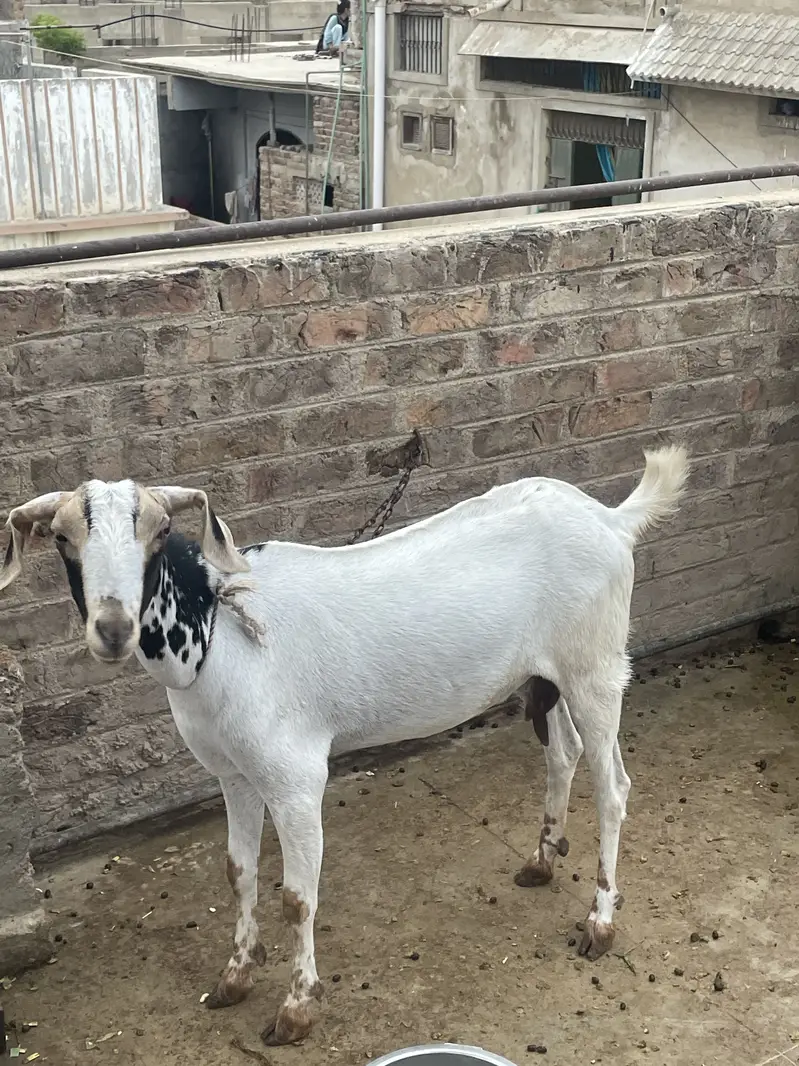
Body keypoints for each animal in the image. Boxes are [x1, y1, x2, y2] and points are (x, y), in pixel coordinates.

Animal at [0, 446, 688, 1045]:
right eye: (60, 537)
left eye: (160, 527)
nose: (113, 628)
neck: (221, 631)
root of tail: (610, 518)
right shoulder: (233, 773)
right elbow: (237, 870)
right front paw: (235, 977)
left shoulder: (295, 777)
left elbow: (297, 898)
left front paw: (295, 1011)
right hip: (544, 674)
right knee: (562, 752)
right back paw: (542, 860)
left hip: (596, 665)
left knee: (614, 784)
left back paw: (600, 923)